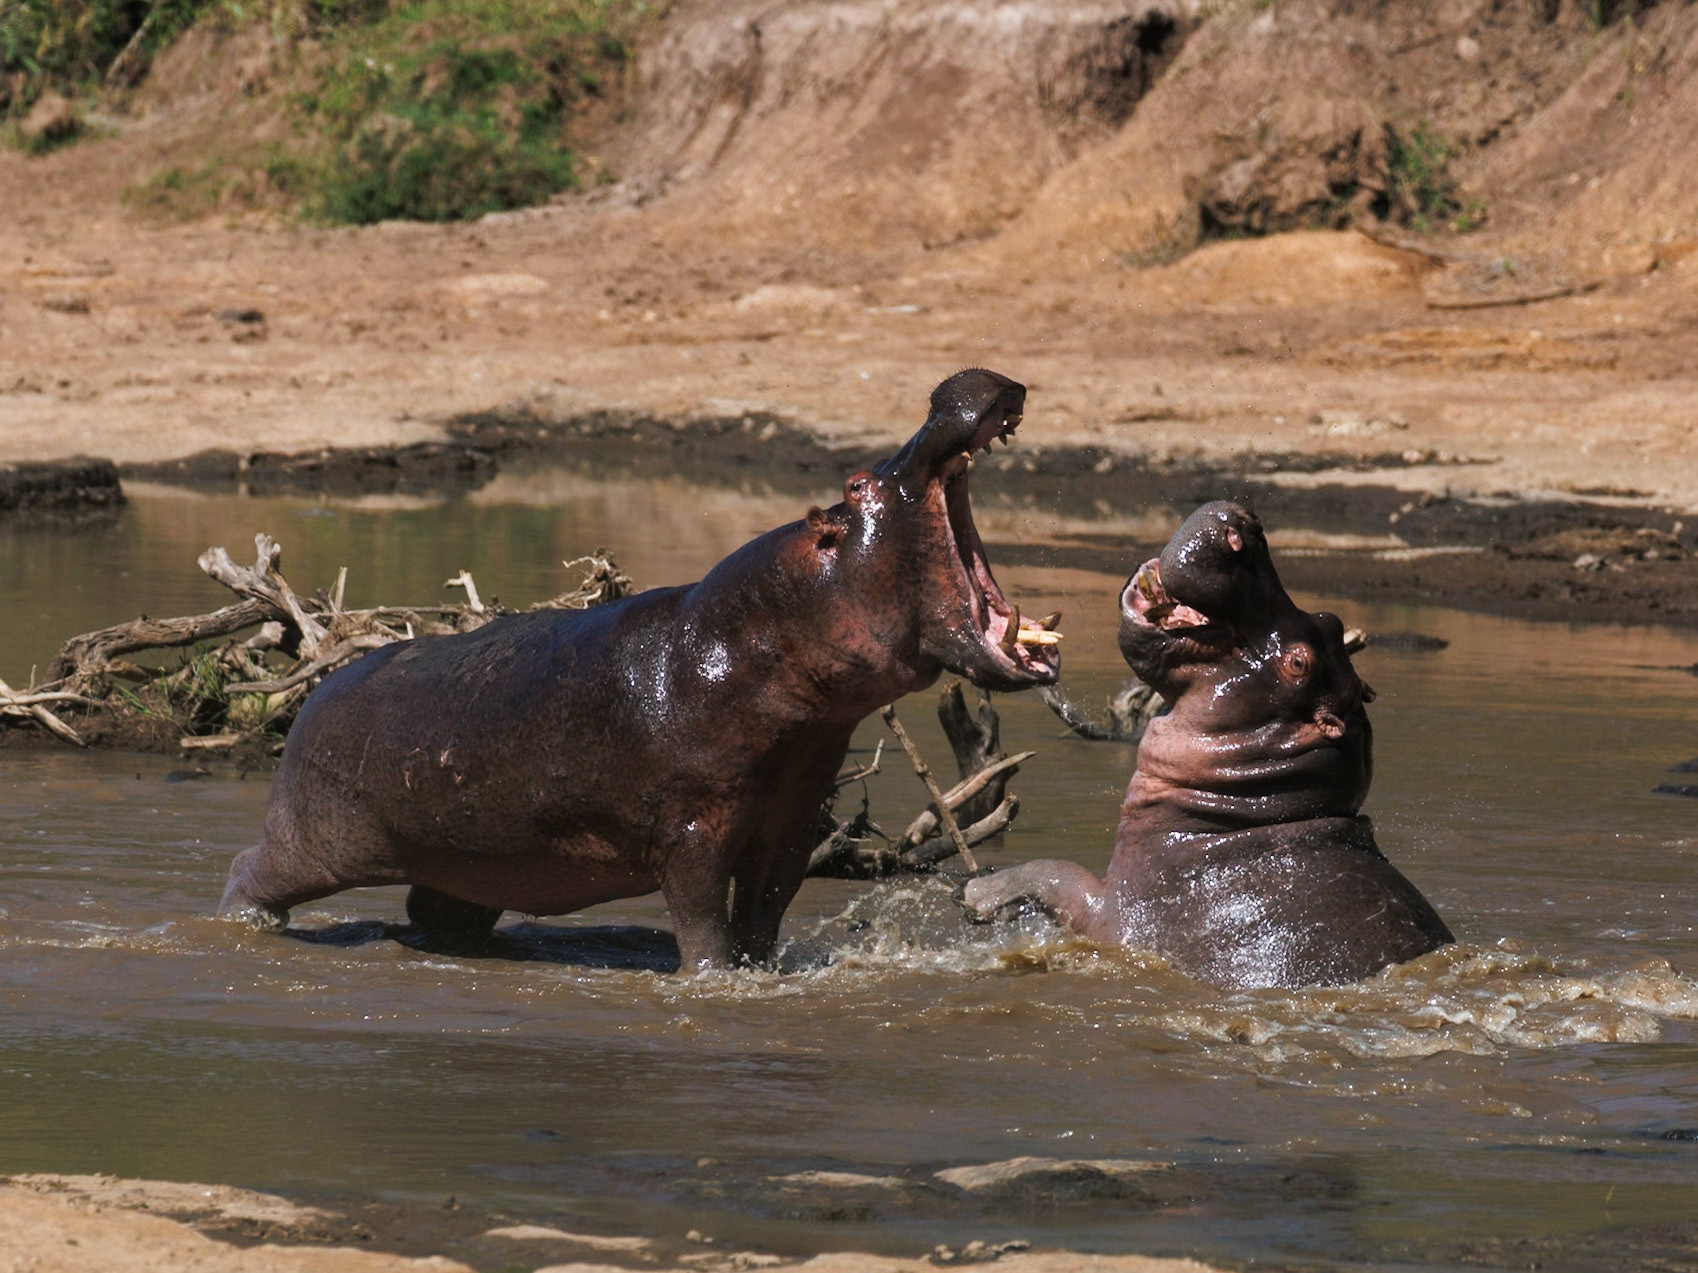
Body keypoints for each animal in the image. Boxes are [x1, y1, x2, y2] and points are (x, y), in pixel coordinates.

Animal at [220, 369, 1062, 970]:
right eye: (856, 485)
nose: (954, 386)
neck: (754, 633)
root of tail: (317, 689)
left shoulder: (790, 815)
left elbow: (767, 907)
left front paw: (762, 971)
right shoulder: (692, 823)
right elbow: (701, 915)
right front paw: (714, 976)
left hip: (476, 858)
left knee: (437, 908)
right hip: (315, 838)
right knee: (250, 867)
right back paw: (243, 922)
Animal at [965, 501, 1451, 989]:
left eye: (1298, 664)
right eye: (1330, 621)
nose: (1245, 524)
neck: (1251, 807)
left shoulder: (1116, 909)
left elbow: (1054, 872)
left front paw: (972, 891)